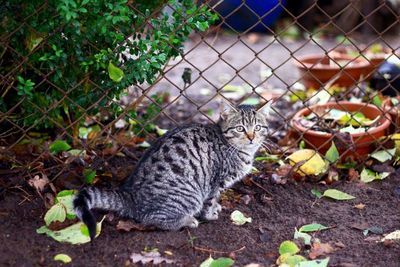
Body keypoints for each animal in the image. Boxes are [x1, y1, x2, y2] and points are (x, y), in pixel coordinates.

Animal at [73, 103, 270, 241]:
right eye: (240, 128)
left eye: (258, 128)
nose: (251, 137)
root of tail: (131, 195)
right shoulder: (215, 182)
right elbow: (210, 201)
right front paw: (210, 214)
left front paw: (216, 207)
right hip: (188, 195)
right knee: (151, 218)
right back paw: (187, 220)